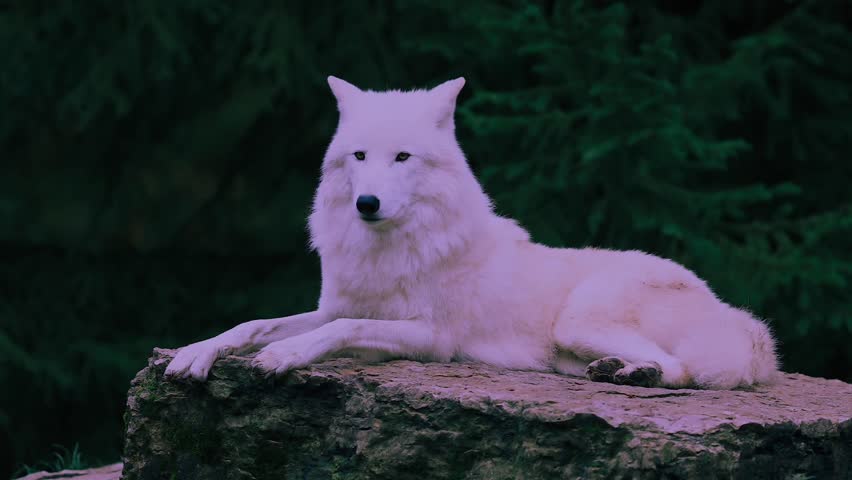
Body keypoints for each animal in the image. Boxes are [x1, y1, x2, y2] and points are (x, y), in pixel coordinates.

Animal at [165, 76, 779, 389]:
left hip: (579, 320)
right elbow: (254, 323)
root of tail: (743, 323)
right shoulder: (332, 304)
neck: (392, 247)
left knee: (685, 371)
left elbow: (340, 329)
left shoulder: (432, 338)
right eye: (360, 156)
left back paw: (636, 374)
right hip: (567, 349)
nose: (367, 203)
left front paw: (286, 355)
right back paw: (622, 371)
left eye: (403, 157)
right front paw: (196, 352)